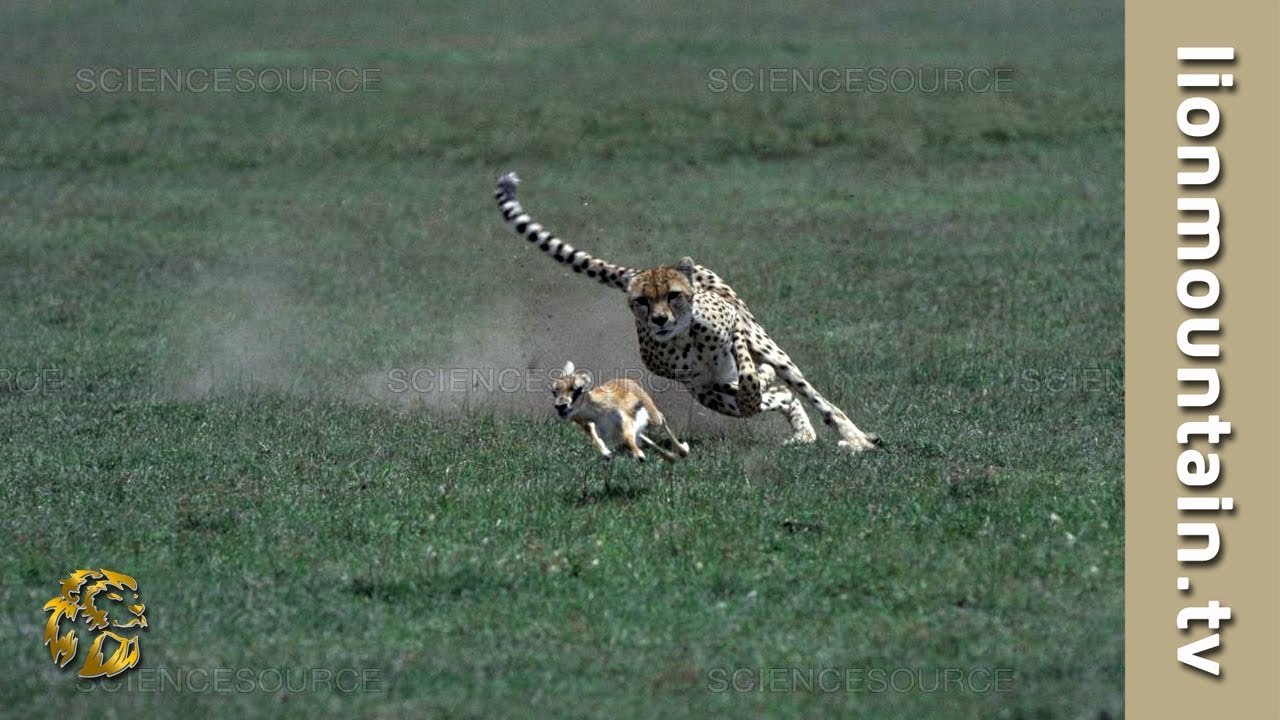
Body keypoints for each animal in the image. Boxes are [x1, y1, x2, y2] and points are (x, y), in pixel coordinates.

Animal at [496, 172, 881, 452]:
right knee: (777, 397)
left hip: (766, 348)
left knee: (803, 392)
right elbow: (750, 391)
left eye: (673, 296)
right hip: (711, 396)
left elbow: (748, 369)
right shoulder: (703, 382)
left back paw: (855, 439)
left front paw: (756, 378)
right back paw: (803, 433)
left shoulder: (733, 329)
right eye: (643, 301)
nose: (659, 319)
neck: (684, 336)